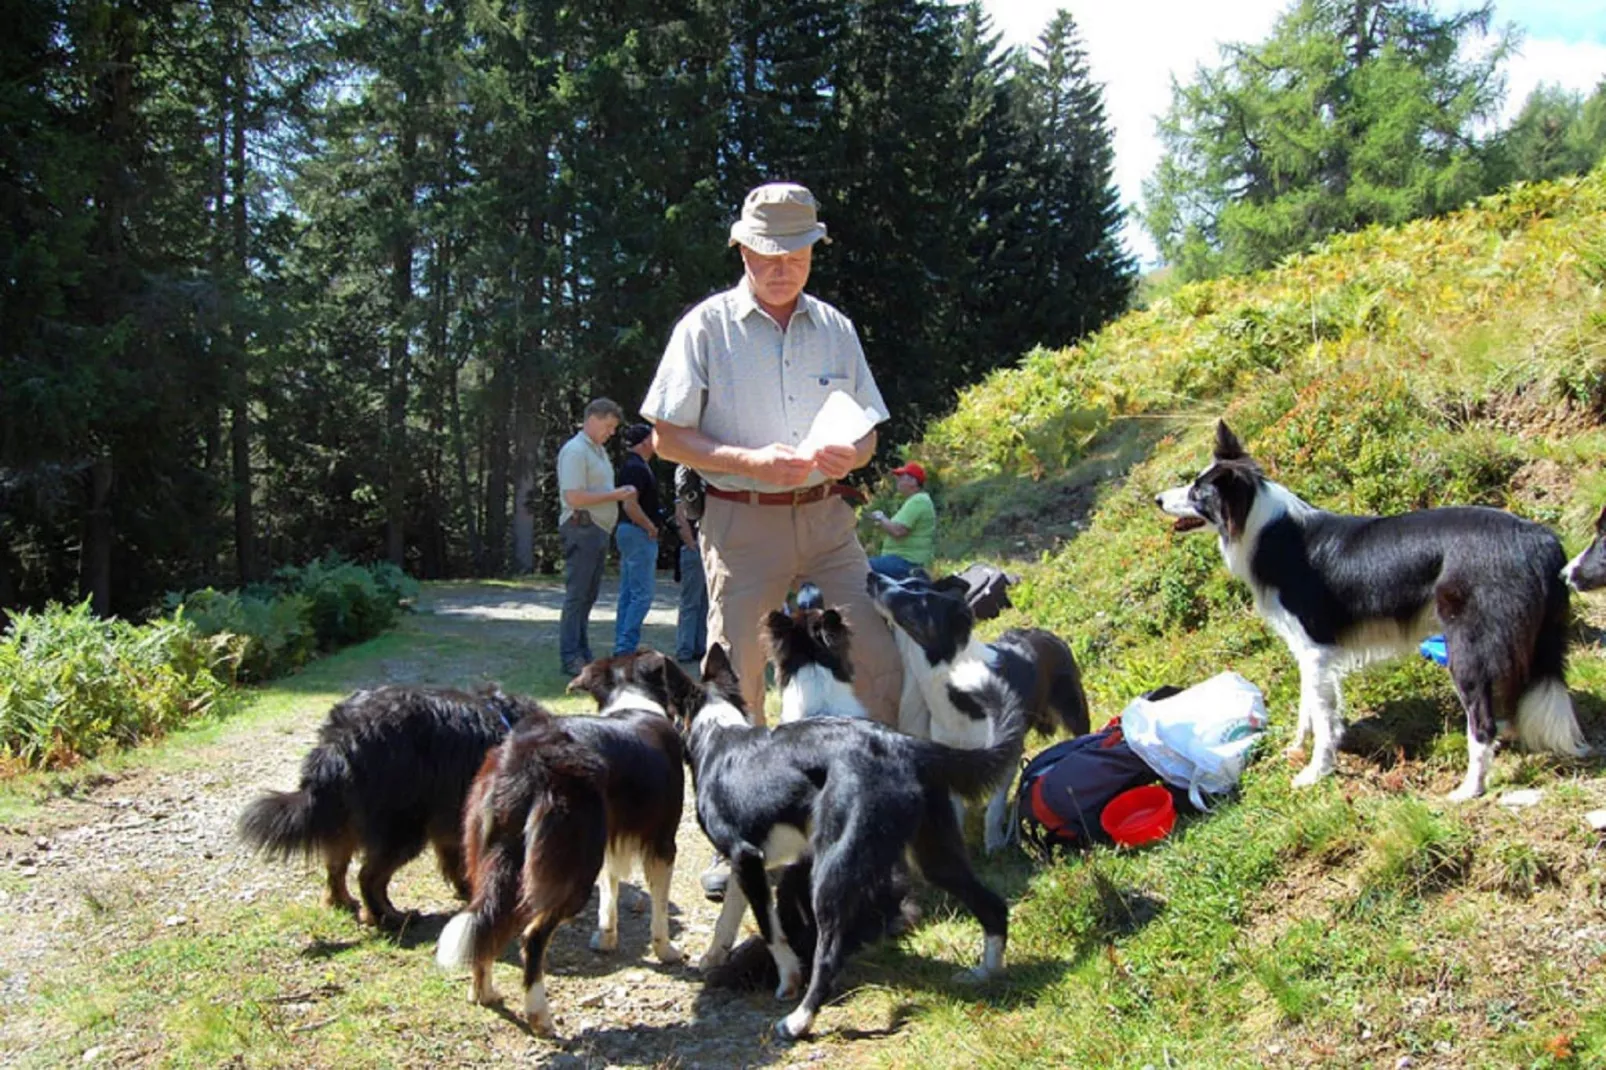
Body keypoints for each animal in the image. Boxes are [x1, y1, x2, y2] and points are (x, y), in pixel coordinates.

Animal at [236, 684, 539, 925]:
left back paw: (342, 902)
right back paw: (388, 917)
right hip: (402, 828)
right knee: (369, 877)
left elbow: (458, 861)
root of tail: (339, 740)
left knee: (336, 865)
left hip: (345, 818)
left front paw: (466, 889)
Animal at [436, 655, 687, 1028]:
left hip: (497, 858)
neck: (634, 700)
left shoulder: (607, 841)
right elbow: (659, 905)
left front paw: (606, 938)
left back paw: (483, 991)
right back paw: (538, 1013)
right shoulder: (663, 843)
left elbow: (610, 889)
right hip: (573, 867)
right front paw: (666, 950)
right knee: (532, 935)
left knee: (486, 921)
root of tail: (526, 759)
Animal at [684, 642, 1021, 1034]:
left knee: (829, 954)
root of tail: (907, 745)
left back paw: (799, 1020)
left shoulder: (746, 856)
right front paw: (714, 954)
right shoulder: (747, 863)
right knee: (993, 907)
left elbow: (770, 930)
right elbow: (730, 916)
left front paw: (786, 979)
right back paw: (986, 972)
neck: (718, 733)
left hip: (831, 874)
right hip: (937, 858)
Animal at [867, 565, 1092, 848]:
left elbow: (994, 807)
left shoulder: (1008, 753)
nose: (871, 577)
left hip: (1074, 710)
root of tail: (1046, 633)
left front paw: (994, 843)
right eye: (905, 581)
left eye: (919, 602)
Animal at [1162, 420, 1586, 796]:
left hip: (1468, 649)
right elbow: (1308, 706)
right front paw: (1297, 747)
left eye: (1198, 492)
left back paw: (1470, 788)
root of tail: (1542, 539)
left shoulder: (1315, 649)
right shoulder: (1308, 652)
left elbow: (1321, 715)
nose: (1158, 499)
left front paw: (1316, 772)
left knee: (1481, 723)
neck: (1266, 529)